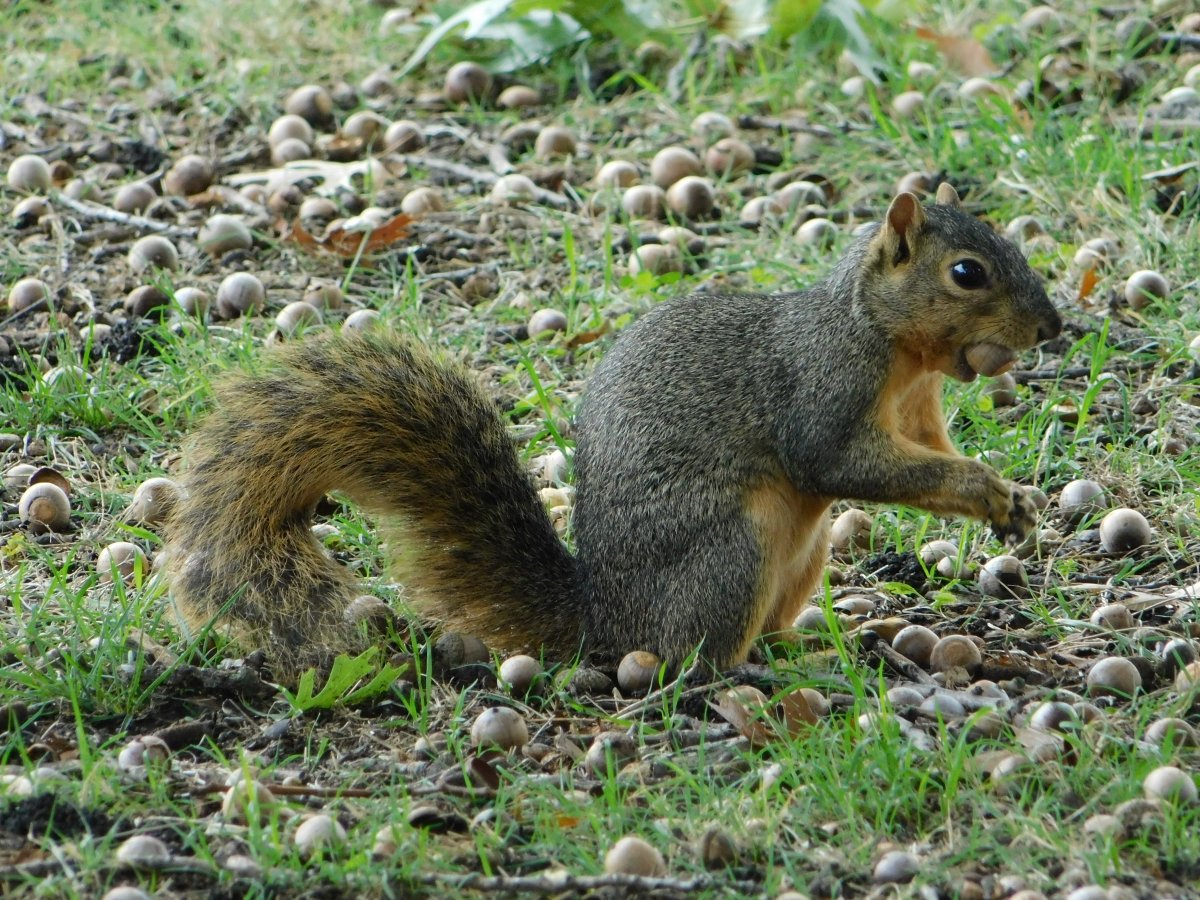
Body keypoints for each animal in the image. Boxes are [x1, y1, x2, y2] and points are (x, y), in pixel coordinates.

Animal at [164, 184, 1065, 676]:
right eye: (966, 273)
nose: (1051, 327)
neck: (896, 349)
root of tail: (606, 614)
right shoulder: (825, 390)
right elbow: (845, 464)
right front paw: (987, 490)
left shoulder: (918, 412)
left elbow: (930, 457)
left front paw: (1012, 501)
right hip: (729, 550)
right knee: (693, 659)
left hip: (800, 558)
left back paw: (810, 647)